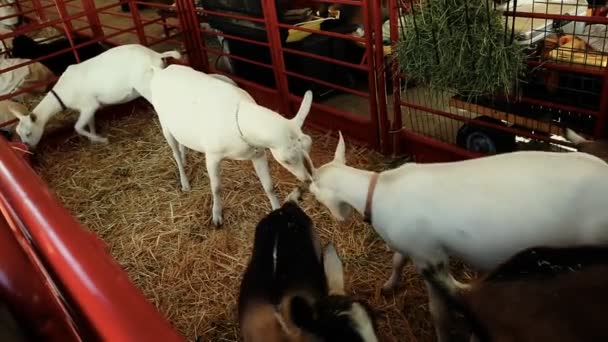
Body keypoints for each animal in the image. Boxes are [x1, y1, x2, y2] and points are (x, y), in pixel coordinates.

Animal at [9, 44, 180, 148]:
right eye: (19, 134)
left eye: (28, 133)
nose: (28, 146)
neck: (63, 91)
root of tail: (157, 55)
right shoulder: (87, 109)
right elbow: (89, 122)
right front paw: (94, 136)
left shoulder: (88, 105)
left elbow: (77, 127)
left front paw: (101, 140)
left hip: (147, 86)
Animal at [147, 63, 314, 226]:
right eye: (287, 160)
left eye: (308, 148)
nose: (307, 180)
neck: (240, 120)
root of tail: (161, 71)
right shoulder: (212, 156)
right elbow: (216, 188)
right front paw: (216, 216)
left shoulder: (259, 154)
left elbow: (269, 186)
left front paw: (277, 209)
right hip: (165, 125)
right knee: (174, 152)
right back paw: (185, 183)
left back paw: (184, 159)